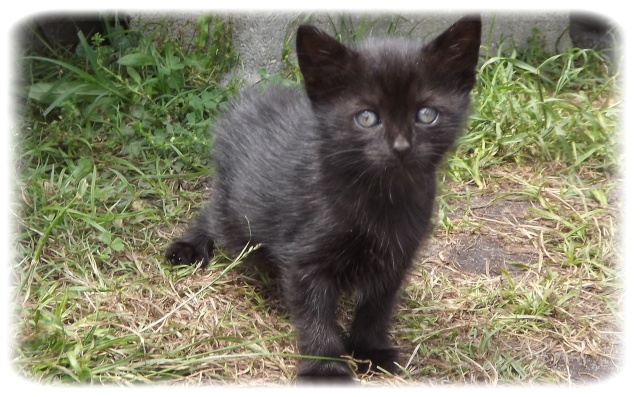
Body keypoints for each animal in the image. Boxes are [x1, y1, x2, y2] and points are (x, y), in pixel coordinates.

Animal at [165, 15, 480, 380]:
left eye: (426, 114)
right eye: (367, 117)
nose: (402, 147)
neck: (379, 197)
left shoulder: (396, 256)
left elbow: (377, 307)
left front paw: (369, 350)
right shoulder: (304, 257)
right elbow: (314, 316)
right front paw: (325, 368)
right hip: (237, 213)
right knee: (212, 212)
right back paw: (188, 246)